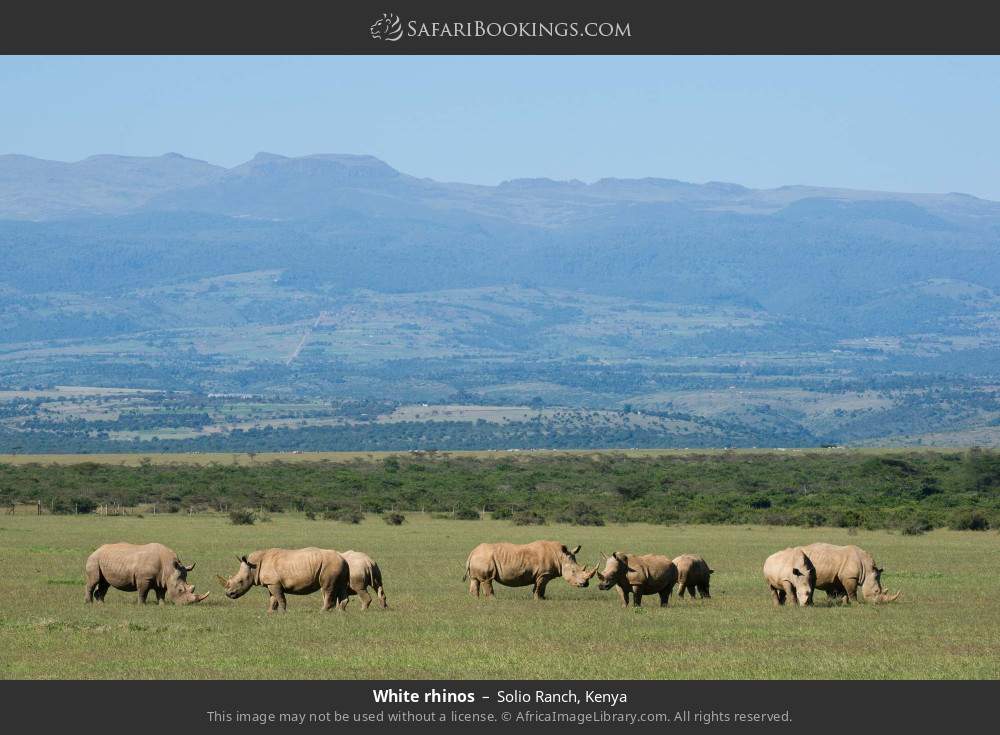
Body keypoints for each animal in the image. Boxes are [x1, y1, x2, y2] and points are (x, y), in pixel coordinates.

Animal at [219, 548, 352, 612]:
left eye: (240, 581)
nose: (229, 594)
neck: (254, 566)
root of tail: (342, 558)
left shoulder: (274, 583)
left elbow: (280, 598)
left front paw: (283, 612)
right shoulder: (271, 583)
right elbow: (273, 599)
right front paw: (270, 612)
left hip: (330, 565)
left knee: (327, 588)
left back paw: (322, 611)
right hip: (339, 565)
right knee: (341, 586)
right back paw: (341, 611)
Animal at [460, 536, 592, 600]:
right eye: (574, 571)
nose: (585, 584)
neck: (560, 557)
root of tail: (472, 552)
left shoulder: (542, 574)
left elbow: (539, 587)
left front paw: (544, 599)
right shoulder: (544, 574)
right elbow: (540, 587)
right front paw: (539, 599)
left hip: (479, 558)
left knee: (475, 580)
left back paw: (475, 600)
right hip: (484, 559)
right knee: (487, 580)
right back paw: (493, 600)